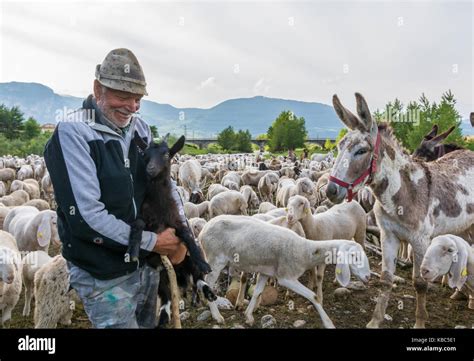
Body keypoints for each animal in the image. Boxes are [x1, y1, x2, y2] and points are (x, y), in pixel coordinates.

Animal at [200, 215, 370, 328]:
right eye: (354, 256)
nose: (368, 276)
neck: (305, 251)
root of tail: (203, 230)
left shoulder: (266, 272)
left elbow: (257, 293)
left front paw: (248, 316)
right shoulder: (286, 277)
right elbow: (313, 296)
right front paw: (328, 323)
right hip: (215, 260)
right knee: (207, 284)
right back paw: (217, 316)